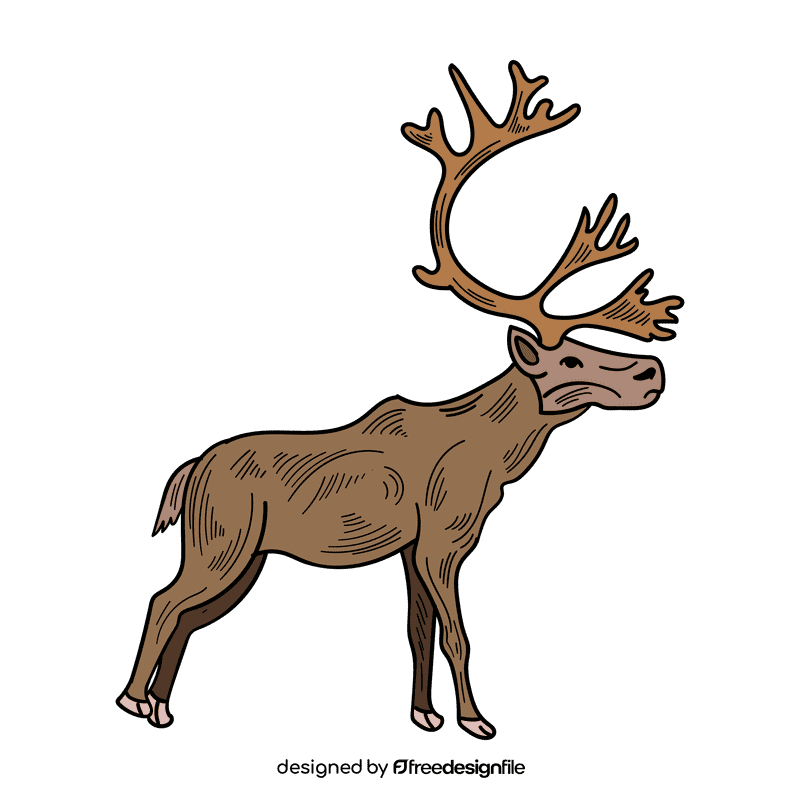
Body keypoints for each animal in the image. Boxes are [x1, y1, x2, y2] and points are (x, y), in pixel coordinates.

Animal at [116, 61, 683, 740]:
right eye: (568, 359)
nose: (651, 372)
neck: (495, 456)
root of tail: (190, 471)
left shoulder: (413, 547)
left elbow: (418, 631)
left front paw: (424, 713)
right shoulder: (445, 534)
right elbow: (459, 635)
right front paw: (475, 719)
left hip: (243, 554)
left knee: (189, 615)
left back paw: (161, 706)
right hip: (220, 539)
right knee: (163, 600)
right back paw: (131, 700)